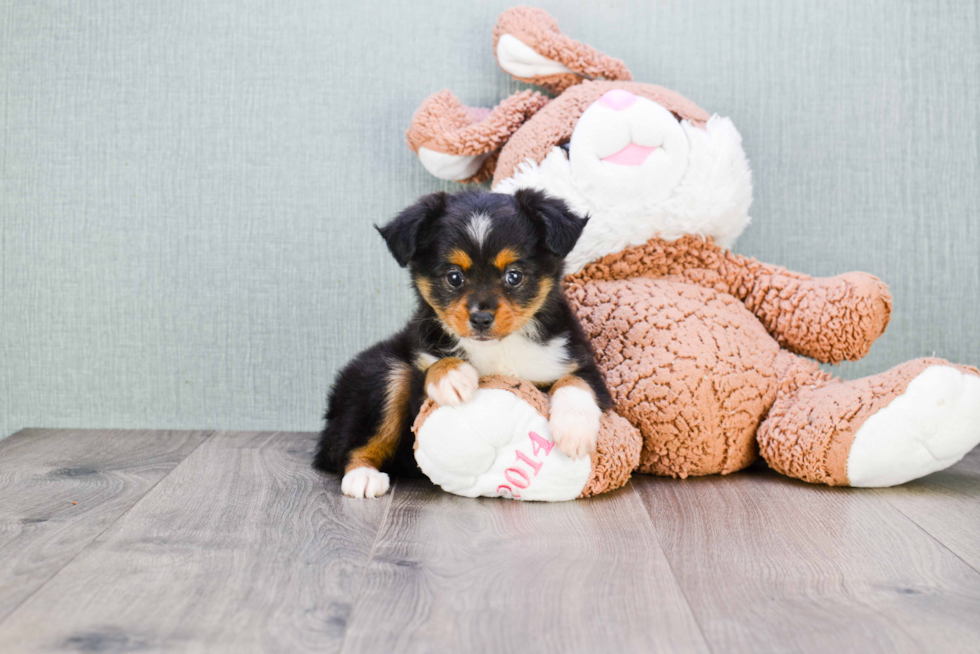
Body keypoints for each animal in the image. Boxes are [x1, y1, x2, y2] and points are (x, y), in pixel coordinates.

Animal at [314, 188, 608, 498]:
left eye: (513, 276)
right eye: (454, 277)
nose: (480, 318)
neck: (500, 347)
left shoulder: (582, 363)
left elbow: (574, 382)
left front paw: (574, 431)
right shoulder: (419, 385)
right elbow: (433, 367)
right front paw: (452, 377)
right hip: (384, 371)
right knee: (350, 444)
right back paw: (363, 477)